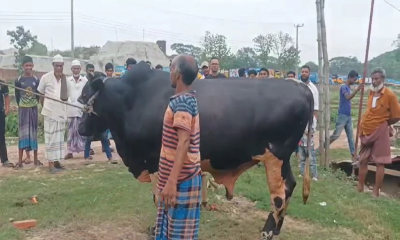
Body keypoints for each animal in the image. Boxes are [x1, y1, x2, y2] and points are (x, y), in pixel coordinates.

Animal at [78, 63, 314, 240]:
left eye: (84, 96)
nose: (80, 129)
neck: (133, 99)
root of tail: (300, 87)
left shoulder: (154, 161)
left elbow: (158, 197)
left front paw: (156, 230)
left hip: (275, 157)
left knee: (279, 194)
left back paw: (267, 231)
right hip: (282, 159)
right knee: (290, 185)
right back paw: (277, 228)